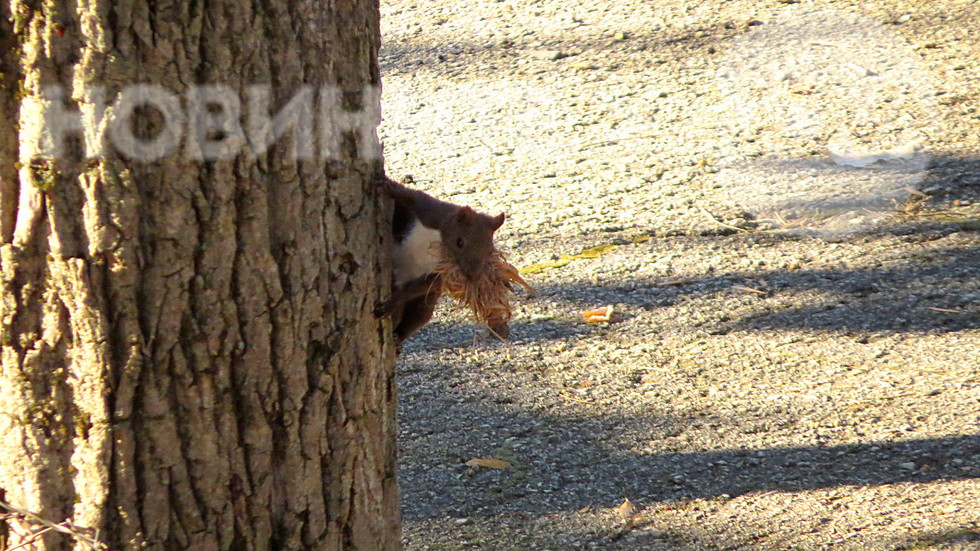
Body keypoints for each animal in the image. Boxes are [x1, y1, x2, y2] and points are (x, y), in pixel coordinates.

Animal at [374, 172, 506, 350]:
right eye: (459, 242)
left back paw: (397, 337)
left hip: (426, 303)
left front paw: (390, 304)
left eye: (490, 249)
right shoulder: (430, 213)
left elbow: (421, 286)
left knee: (416, 318)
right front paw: (389, 186)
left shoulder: (439, 273)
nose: (473, 274)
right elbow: (411, 196)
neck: (438, 241)